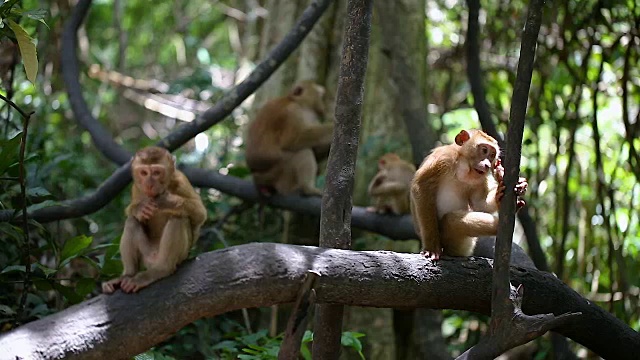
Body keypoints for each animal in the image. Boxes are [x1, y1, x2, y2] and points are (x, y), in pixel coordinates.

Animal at [104, 146, 206, 292]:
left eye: (157, 172)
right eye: (144, 173)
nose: (149, 184)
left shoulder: (181, 180)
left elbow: (200, 214)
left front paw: (167, 201)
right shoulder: (136, 186)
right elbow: (134, 212)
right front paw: (140, 208)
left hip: (176, 257)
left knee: (179, 219)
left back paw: (161, 270)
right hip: (146, 254)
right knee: (132, 221)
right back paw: (128, 274)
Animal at [410, 129, 528, 258]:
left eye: (492, 155)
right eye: (484, 150)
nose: (487, 165)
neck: (463, 167)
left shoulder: (479, 180)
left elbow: (479, 204)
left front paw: (501, 194)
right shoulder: (443, 157)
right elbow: (421, 187)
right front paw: (431, 247)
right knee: (450, 220)